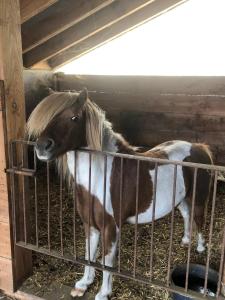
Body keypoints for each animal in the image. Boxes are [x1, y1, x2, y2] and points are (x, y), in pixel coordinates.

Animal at [26, 88, 213, 300]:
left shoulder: (110, 227)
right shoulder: (90, 224)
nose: (41, 147)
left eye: (74, 117)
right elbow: (89, 255)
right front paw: (83, 284)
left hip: (199, 199)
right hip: (181, 199)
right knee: (187, 215)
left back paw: (200, 247)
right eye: (50, 117)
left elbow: (107, 262)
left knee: (199, 218)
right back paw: (185, 241)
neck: (100, 175)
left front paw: (103, 293)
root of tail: (198, 147)